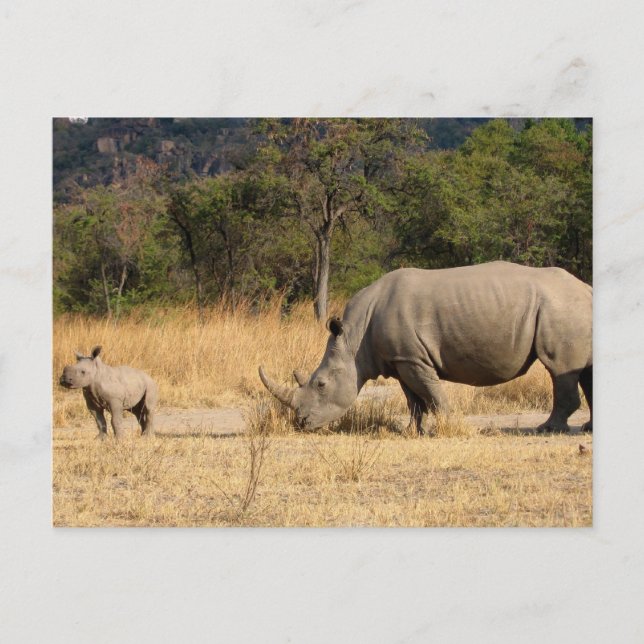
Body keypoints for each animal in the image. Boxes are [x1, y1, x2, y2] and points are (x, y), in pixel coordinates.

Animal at [259, 261, 592, 434]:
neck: (353, 340)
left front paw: (449, 426)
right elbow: (413, 400)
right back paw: (587, 428)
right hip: (571, 307)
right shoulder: (401, 360)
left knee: (559, 368)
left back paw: (548, 429)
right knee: (583, 370)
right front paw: (411, 432)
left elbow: (432, 394)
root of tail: (585, 287)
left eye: (321, 384)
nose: (301, 423)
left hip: (560, 307)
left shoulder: (413, 359)